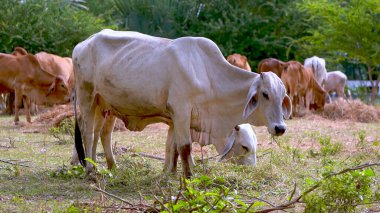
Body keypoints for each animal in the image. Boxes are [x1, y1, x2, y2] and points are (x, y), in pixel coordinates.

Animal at [71, 29, 290, 176]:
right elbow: (184, 147)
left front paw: (173, 171)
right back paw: (89, 170)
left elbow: (173, 146)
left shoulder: (178, 119)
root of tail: (83, 43)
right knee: (88, 133)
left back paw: (107, 166)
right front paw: (188, 177)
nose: (280, 128)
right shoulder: (181, 111)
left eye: (282, 96)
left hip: (104, 107)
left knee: (102, 134)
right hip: (87, 98)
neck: (208, 75)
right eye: (265, 94)